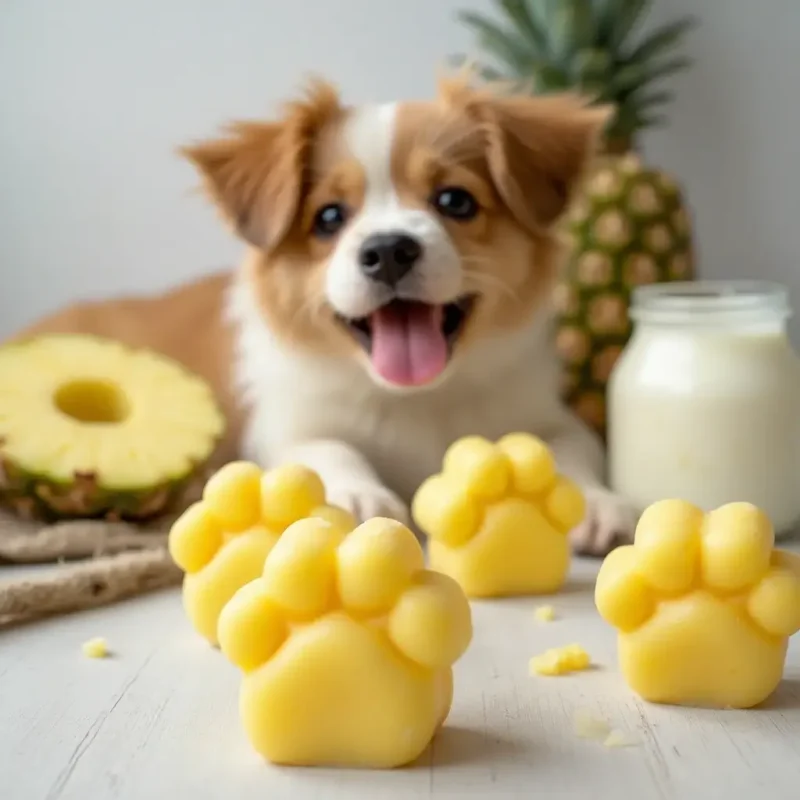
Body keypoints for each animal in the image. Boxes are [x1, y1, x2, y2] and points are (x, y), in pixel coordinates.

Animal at [14, 72, 636, 552]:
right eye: (330, 217)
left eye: (455, 201)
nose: (389, 250)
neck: (414, 400)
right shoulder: (278, 427)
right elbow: (323, 448)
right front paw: (355, 494)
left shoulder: (546, 411)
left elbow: (567, 448)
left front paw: (595, 503)